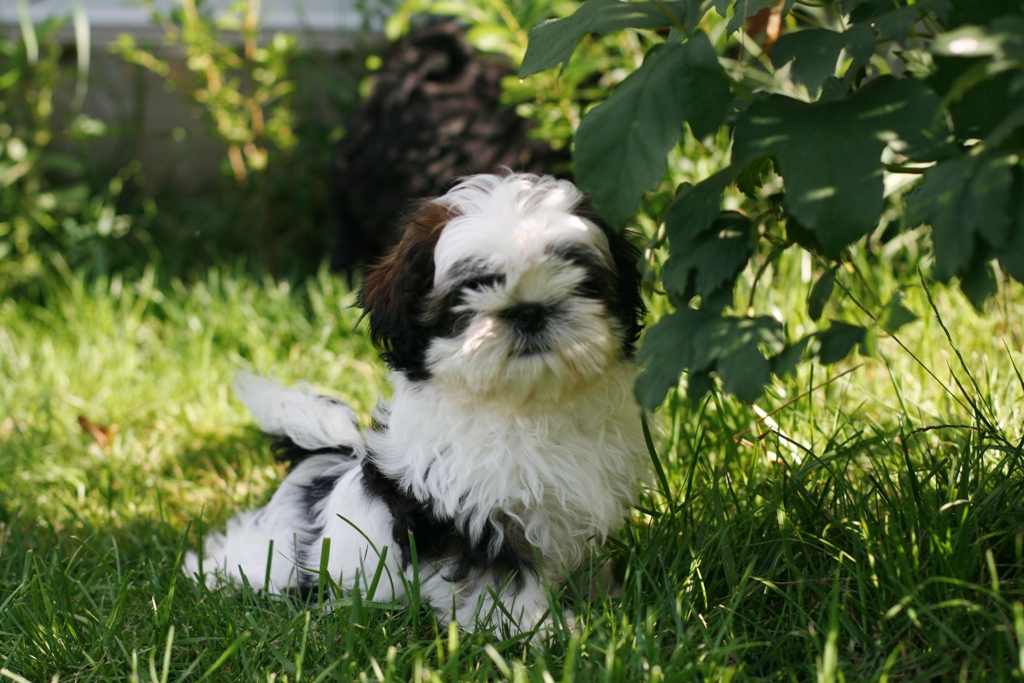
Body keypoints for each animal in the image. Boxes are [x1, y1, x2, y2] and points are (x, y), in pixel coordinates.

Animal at [184, 172, 650, 635]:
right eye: (474, 287)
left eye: (579, 279)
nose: (530, 310)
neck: (527, 406)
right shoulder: (469, 514)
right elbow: (501, 578)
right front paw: (537, 629)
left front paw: (600, 596)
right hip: (276, 555)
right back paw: (208, 571)